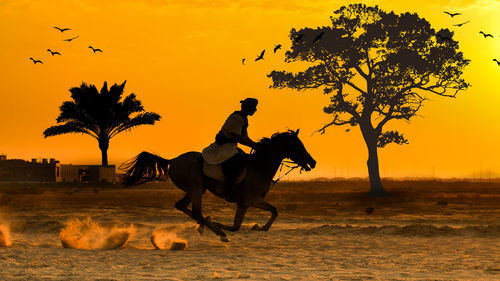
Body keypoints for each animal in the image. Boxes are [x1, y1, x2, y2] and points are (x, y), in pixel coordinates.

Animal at [121, 129, 314, 241]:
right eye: (297, 145)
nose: (313, 163)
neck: (260, 166)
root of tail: (173, 160)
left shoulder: (246, 203)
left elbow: (240, 225)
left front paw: (256, 226)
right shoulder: (251, 200)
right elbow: (272, 211)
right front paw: (260, 227)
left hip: (196, 190)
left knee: (182, 206)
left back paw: (207, 225)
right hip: (196, 188)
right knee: (196, 212)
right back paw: (218, 232)